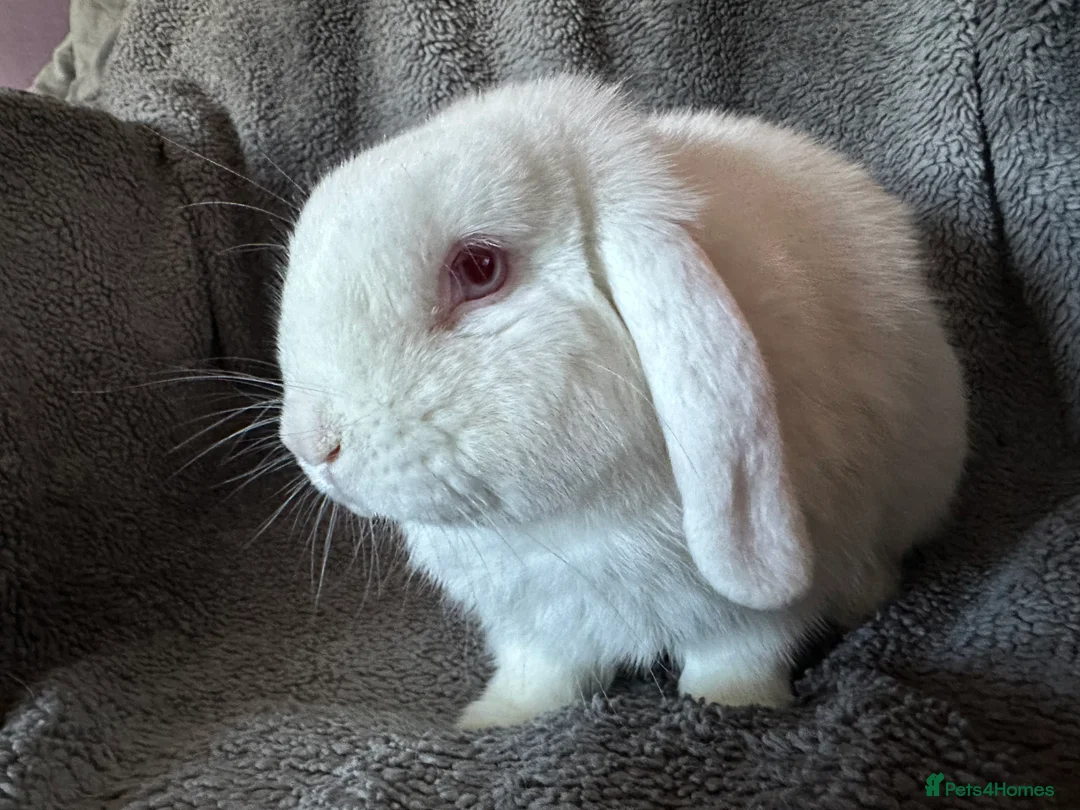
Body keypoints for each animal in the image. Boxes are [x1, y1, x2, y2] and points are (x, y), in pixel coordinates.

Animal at [274, 74, 969, 730]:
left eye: (478, 268)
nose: (311, 444)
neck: (572, 525)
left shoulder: (756, 611)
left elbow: (740, 656)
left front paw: (730, 706)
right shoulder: (538, 623)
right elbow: (540, 672)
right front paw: (497, 719)